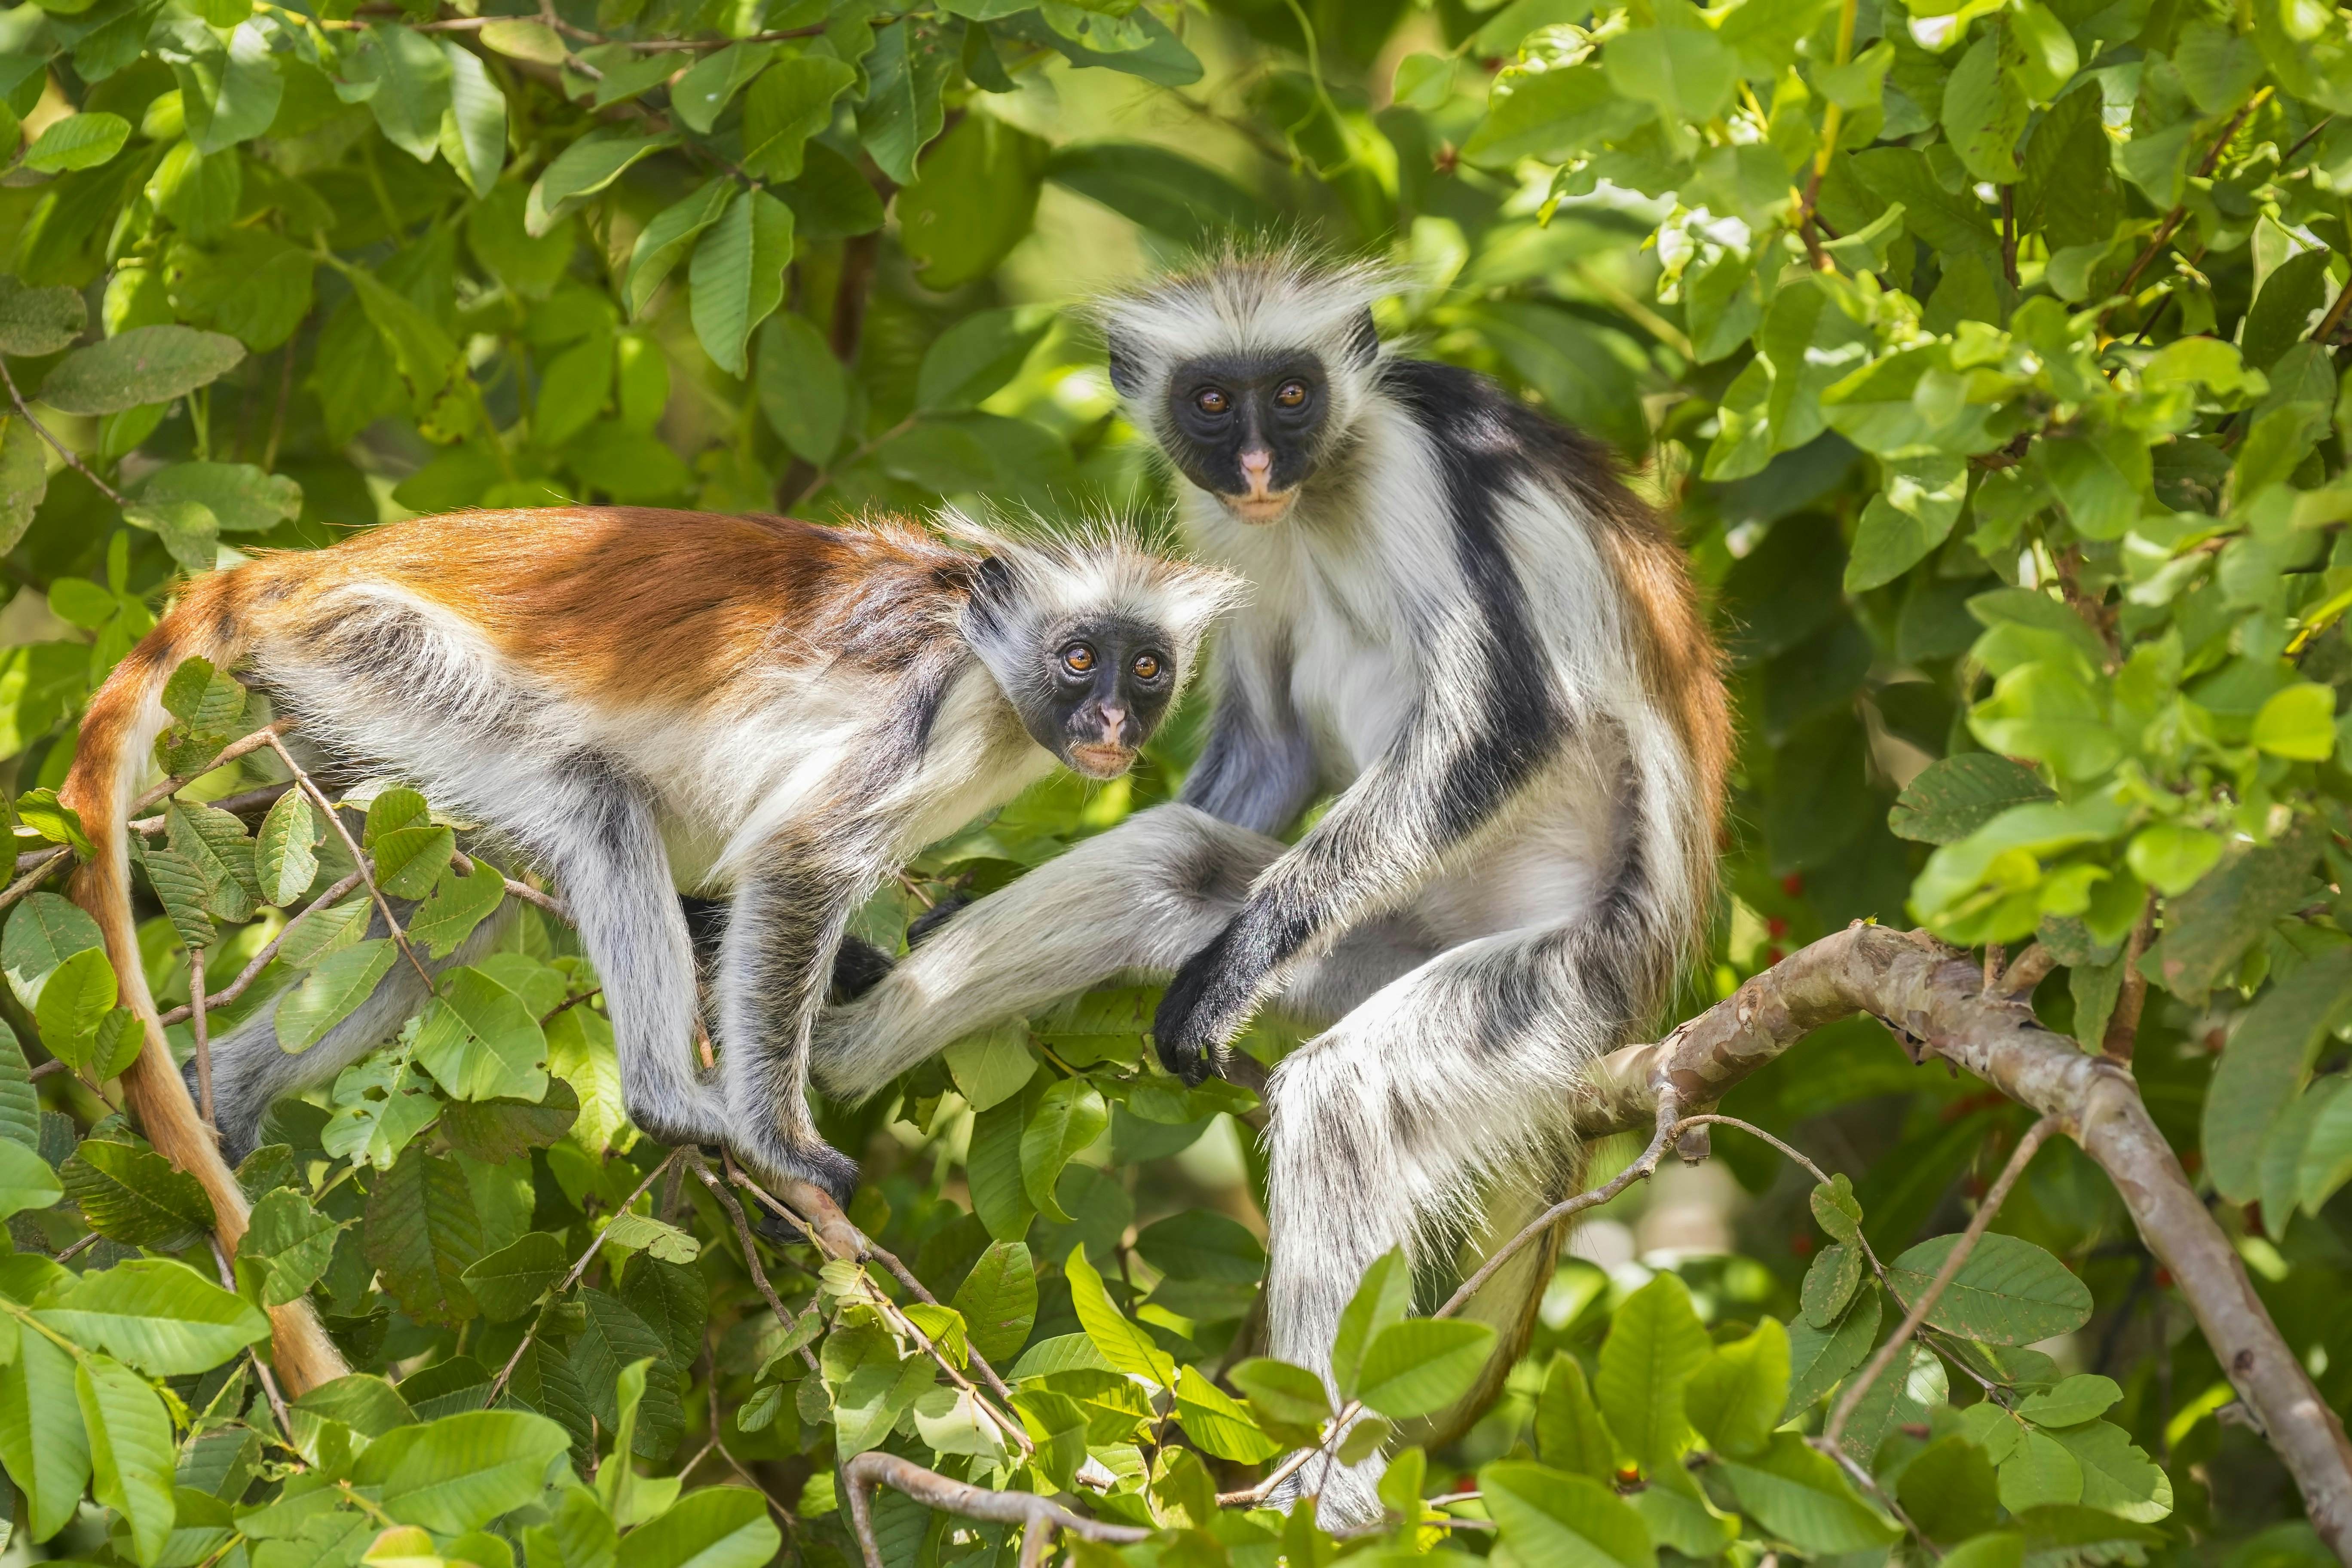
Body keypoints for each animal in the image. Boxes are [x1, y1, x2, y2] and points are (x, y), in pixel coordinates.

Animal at [59, 510, 1232, 1391]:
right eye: (1077, 659)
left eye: (1146, 666)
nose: (1113, 720)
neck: (985, 655)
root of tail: (299, 568)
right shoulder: (923, 706)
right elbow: (797, 860)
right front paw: (782, 1145)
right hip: (372, 647)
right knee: (596, 799)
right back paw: (672, 1101)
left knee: (456, 918)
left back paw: (225, 1097)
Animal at [818, 255, 1740, 1523]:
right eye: (1214, 403)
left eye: (1293, 396)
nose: (1259, 465)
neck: (1318, 490)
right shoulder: (1221, 524)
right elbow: (1265, 750)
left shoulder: (1410, 463)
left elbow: (1505, 721)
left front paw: (1235, 968)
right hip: (1380, 938)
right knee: (1169, 861)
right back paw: (830, 1049)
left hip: (1560, 978)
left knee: (1346, 1094)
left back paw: (1328, 1494)